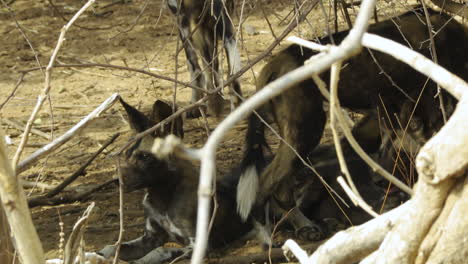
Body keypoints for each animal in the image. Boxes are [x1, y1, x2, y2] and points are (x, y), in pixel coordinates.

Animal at [238, 6, 468, 237]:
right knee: (268, 185)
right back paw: (276, 232)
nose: (377, 182)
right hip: (306, 132)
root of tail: (274, 65)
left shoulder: (387, 112)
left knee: (282, 188)